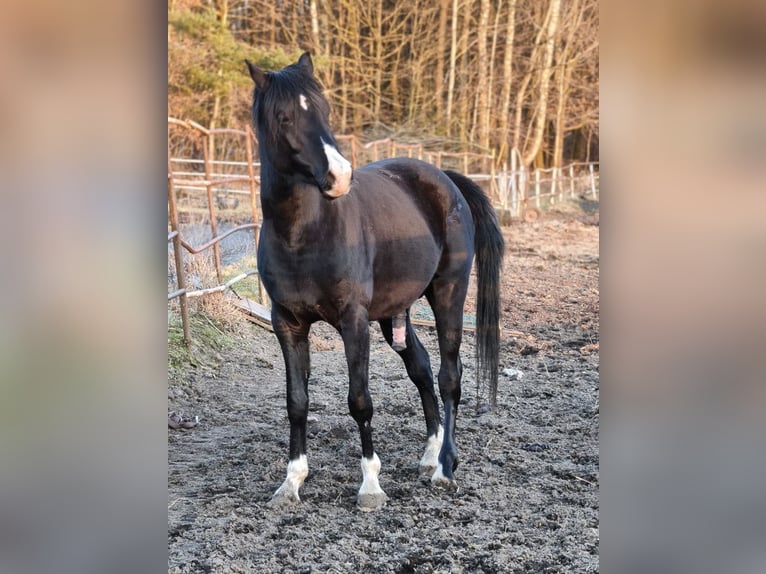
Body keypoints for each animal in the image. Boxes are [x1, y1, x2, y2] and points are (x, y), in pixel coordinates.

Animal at [245, 52, 504, 511]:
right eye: (284, 116)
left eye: (325, 110)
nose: (340, 176)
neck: (304, 234)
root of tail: (444, 178)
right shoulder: (287, 323)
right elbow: (297, 402)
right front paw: (291, 482)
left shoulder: (353, 321)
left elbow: (360, 401)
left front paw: (370, 485)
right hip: (393, 315)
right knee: (422, 369)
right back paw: (430, 454)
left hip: (448, 294)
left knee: (449, 377)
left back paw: (445, 467)